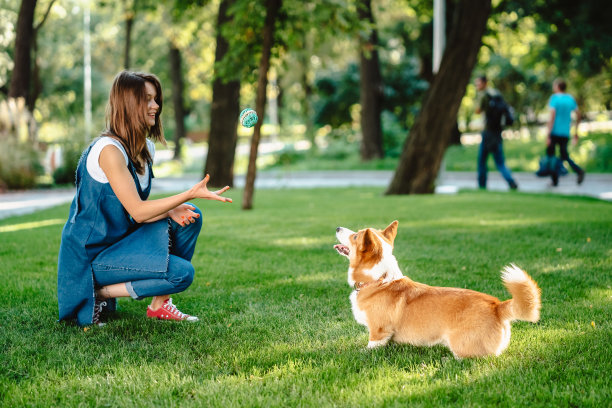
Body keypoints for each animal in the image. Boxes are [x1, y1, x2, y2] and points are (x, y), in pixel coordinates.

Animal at [334, 220, 540, 356]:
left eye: (355, 236)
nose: (337, 227)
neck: (379, 279)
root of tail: (497, 306)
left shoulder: (378, 330)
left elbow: (371, 346)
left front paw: (361, 352)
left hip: (461, 344)